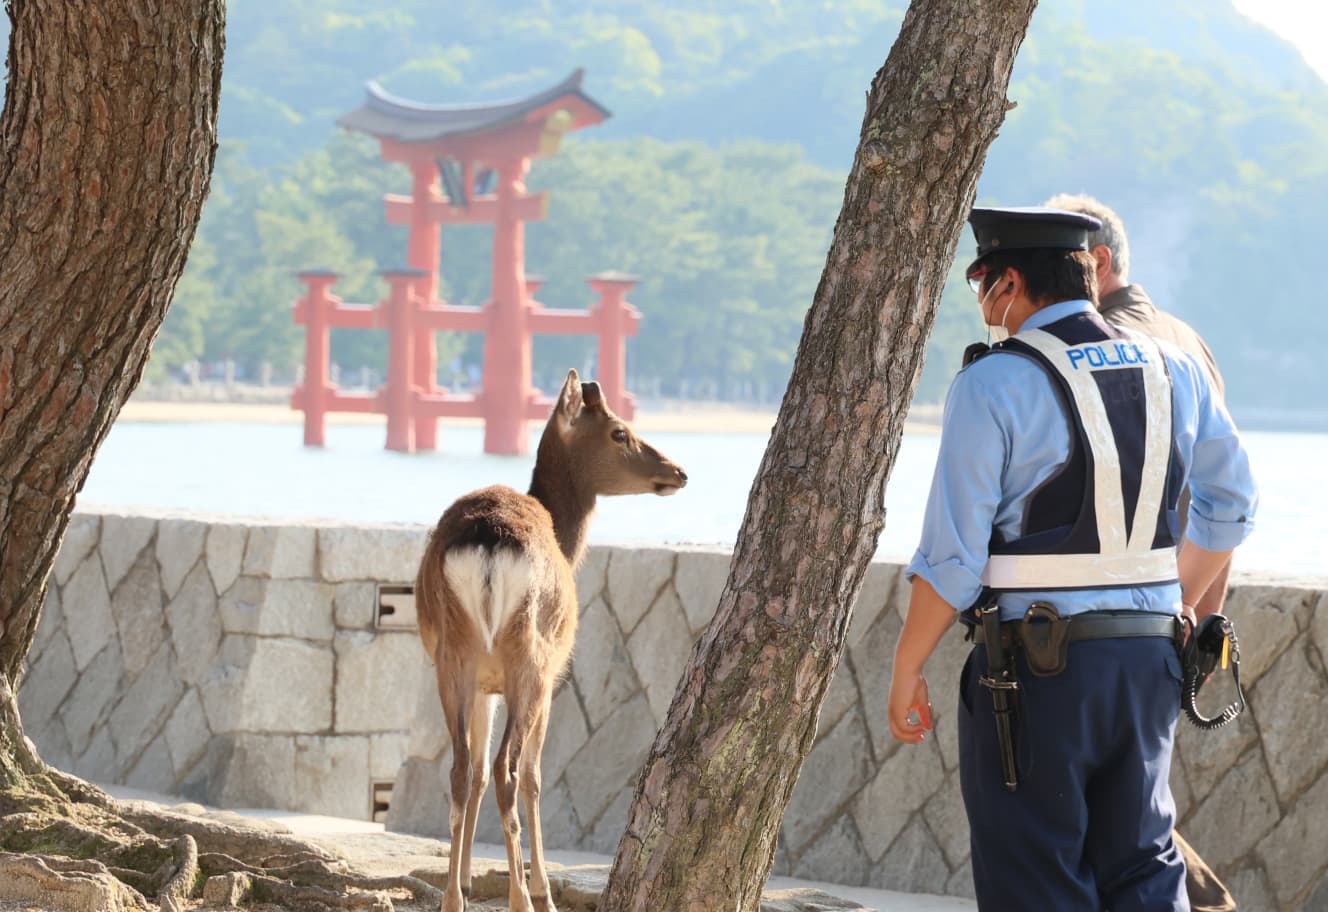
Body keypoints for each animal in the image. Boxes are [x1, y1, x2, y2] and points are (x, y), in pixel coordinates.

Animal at [414, 369, 690, 912]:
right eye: (619, 432)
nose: (678, 471)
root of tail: (488, 539)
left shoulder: (484, 684)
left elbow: (476, 774)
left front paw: (468, 881)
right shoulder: (553, 679)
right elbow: (535, 777)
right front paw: (540, 888)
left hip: (453, 656)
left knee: (463, 768)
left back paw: (452, 898)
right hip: (532, 657)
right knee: (511, 769)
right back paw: (524, 897)